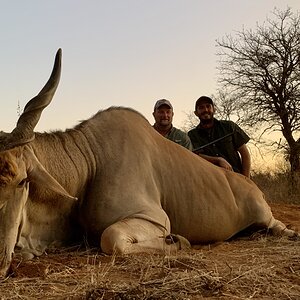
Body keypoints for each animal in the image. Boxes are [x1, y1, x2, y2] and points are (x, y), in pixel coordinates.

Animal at [0, 48, 296, 276]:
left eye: (23, 181)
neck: (91, 161)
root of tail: (249, 183)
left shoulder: (154, 219)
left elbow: (112, 240)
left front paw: (178, 241)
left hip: (264, 215)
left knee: (275, 225)